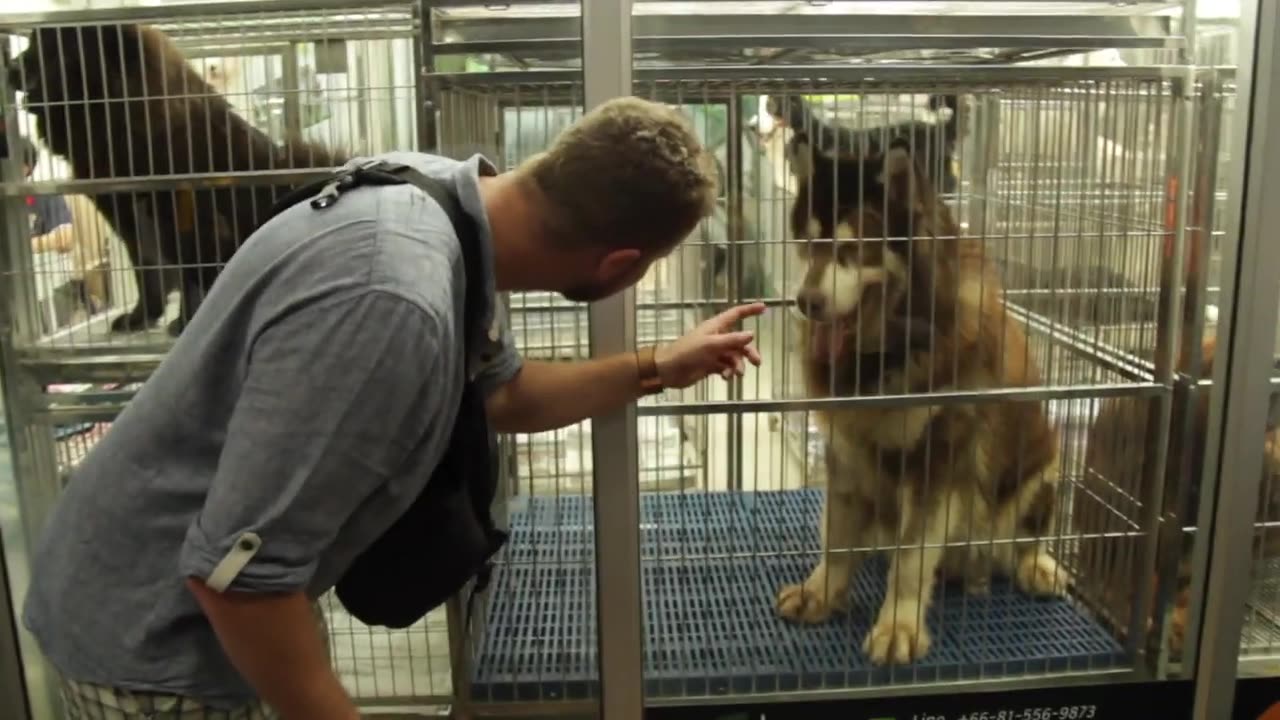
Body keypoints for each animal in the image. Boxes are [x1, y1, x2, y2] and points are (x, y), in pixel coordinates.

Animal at [8, 22, 350, 335]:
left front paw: (188, 320)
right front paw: (142, 317)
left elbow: (188, 274)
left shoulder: (184, 219)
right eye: (31, 45)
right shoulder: (128, 215)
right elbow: (148, 271)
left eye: (50, 51)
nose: (10, 66)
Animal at [773, 131, 1075, 666]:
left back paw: (1035, 564)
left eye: (853, 248)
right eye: (808, 245)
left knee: (1024, 537)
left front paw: (899, 626)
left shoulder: (939, 460)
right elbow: (837, 535)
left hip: (1042, 467)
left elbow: (912, 558)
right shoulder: (845, 449)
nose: (806, 303)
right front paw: (821, 592)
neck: (886, 355)